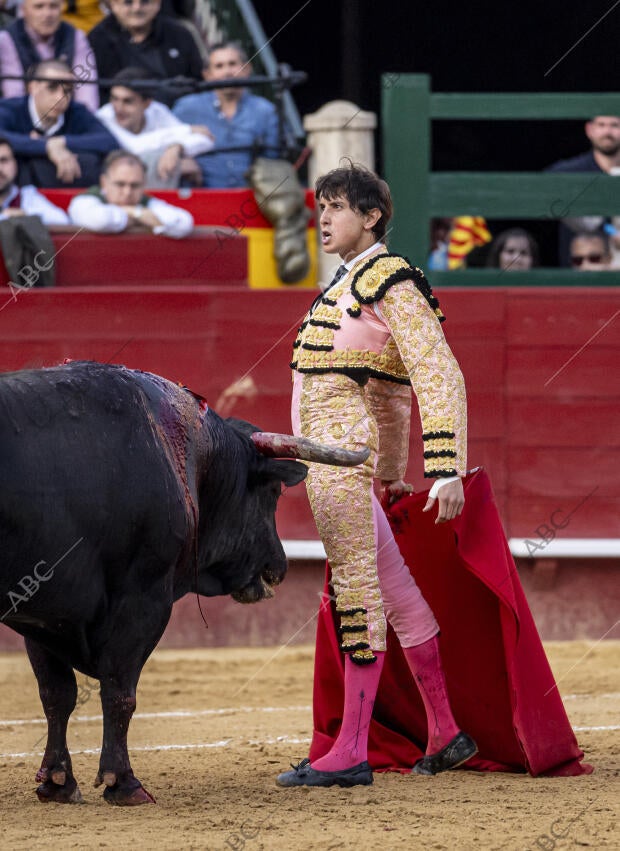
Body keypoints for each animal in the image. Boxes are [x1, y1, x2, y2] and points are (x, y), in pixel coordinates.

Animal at [0, 360, 368, 804]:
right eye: (274, 492)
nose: (278, 567)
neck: (191, 459)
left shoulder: (44, 613)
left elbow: (57, 695)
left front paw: (57, 781)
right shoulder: (142, 599)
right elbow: (118, 690)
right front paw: (124, 783)